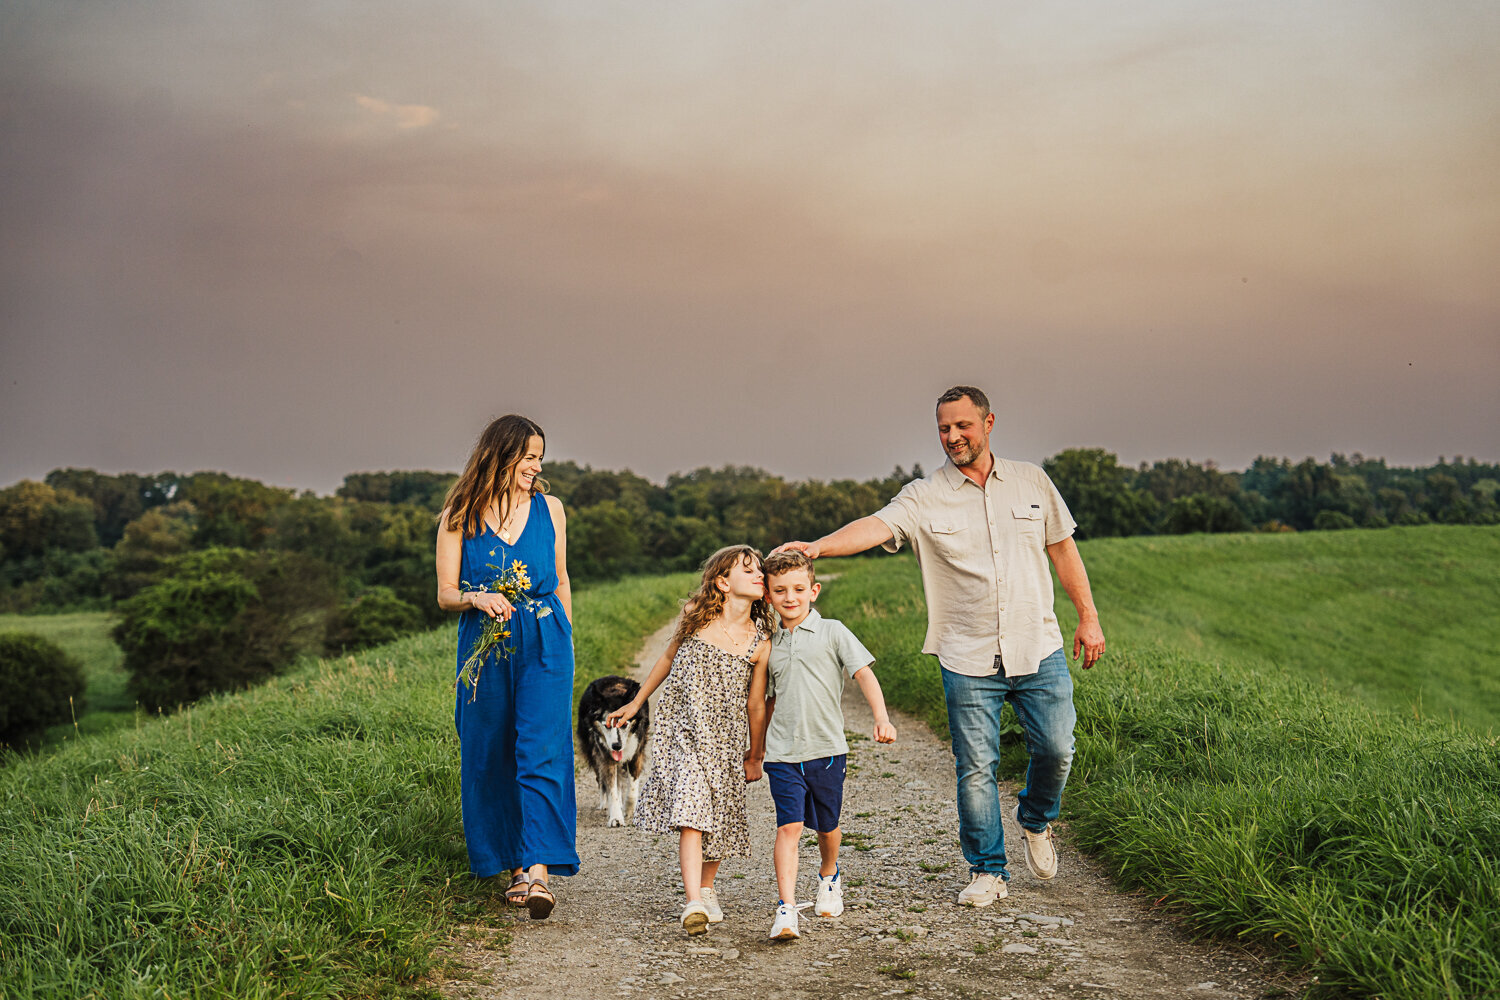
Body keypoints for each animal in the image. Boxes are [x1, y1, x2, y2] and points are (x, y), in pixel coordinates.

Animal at [573, 680, 651, 827]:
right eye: (607, 725)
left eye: (624, 724)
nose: (616, 746)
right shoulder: (606, 757)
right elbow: (611, 790)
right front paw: (616, 817)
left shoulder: (636, 752)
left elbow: (632, 788)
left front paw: (630, 810)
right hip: (594, 753)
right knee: (601, 779)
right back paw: (605, 804)